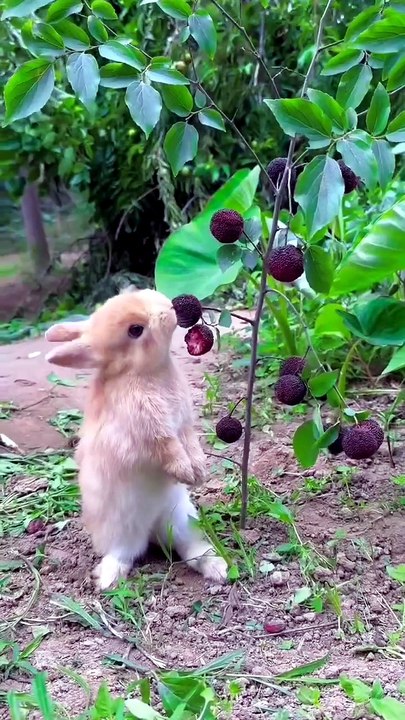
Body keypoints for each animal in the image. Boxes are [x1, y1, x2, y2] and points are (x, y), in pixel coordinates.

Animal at [45, 289, 228, 590]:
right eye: (135, 330)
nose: (169, 308)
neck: (143, 372)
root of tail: (152, 528)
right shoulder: (150, 433)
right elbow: (169, 449)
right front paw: (186, 472)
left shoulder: (183, 425)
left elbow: (190, 443)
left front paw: (199, 473)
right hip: (122, 531)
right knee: (124, 554)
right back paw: (108, 580)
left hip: (182, 520)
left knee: (190, 548)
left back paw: (218, 567)